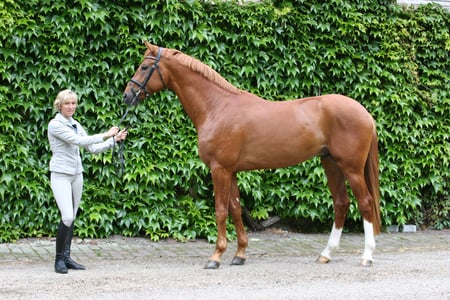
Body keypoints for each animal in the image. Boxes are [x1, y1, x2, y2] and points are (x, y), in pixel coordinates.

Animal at [122, 41, 380, 268]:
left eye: (144, 67)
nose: (127, 95)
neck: (217, 107)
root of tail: (365, 113)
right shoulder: (231, 171)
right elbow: (236, 210)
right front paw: (240, 255)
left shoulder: (219, 169)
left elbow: (221, 211)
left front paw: (216, 257)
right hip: (331, 163)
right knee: (341, 203)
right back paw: (326, 254)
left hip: (351, 168)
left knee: (365, 203)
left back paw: (367, 257)